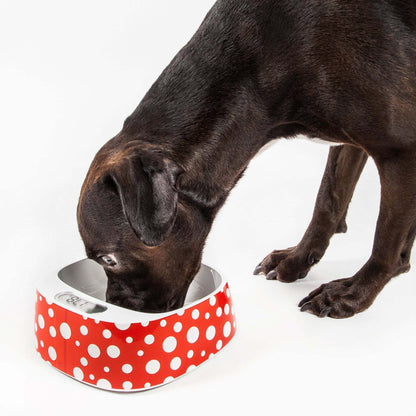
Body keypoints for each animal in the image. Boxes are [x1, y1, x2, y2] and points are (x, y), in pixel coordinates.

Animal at [76, 0, 414, 318]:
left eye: (108, 259)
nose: (114, 307)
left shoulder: (399, 150)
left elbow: (385, 241)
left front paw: (353, 293)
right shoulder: (350, 141)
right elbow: (327, 202)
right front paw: (298, 259)